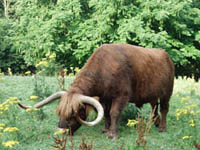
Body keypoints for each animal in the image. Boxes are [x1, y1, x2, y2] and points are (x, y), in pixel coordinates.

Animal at [19, 43, 175, 139]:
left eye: (73, 114)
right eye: (59, 112)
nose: (62, 131)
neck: (104, 68)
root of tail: (166, 56)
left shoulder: (122, 95)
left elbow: (114, 113)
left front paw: (113, 134)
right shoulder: (104, 97)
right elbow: (105, 112)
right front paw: (106, 129)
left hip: (167, 92)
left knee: (164, 108)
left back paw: (162, 127)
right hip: (153, 94)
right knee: (154, 107)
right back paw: (155, 123)